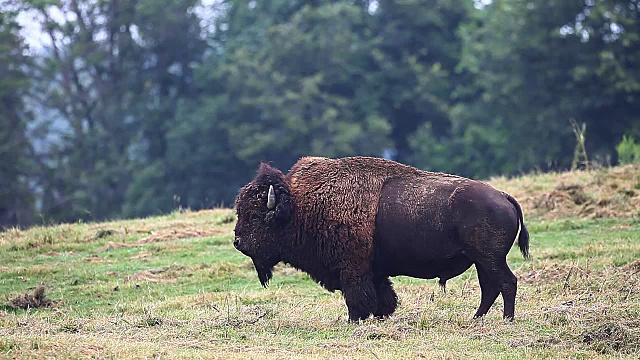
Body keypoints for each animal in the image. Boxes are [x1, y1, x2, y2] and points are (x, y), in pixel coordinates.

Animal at [232, 156, 528, 322]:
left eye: (255, 216)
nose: (238, 242)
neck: (300, 207)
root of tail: (503, 196)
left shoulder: (353, 269)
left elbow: (357, 296)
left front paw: (355, 319)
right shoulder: (374, 270)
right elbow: (383, 294)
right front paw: (382, 314)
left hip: (489, 259)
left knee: (506, 282)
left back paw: (507, 319)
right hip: (481, 261)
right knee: (490, 288)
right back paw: (476, 319)